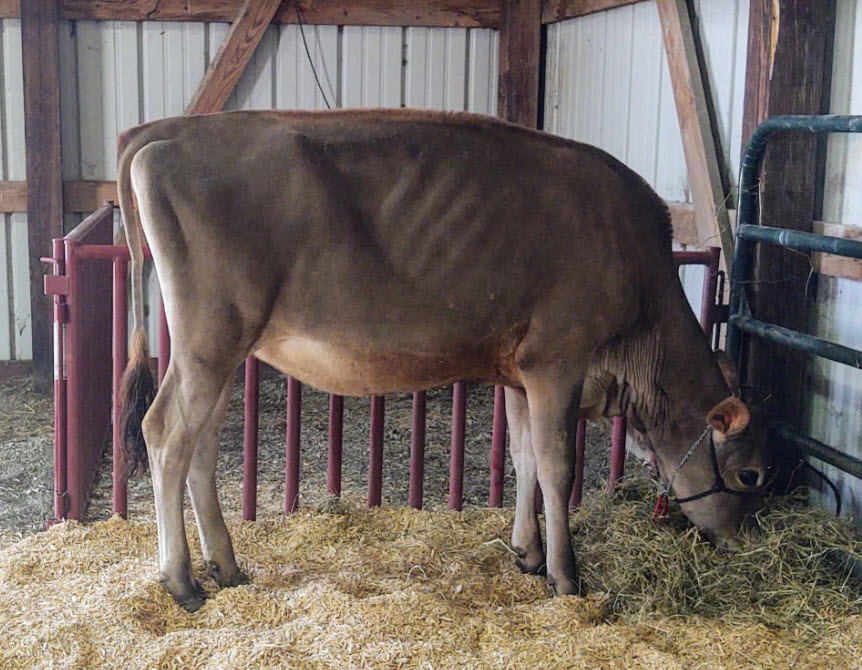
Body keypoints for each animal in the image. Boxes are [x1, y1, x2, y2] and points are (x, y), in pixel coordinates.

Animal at [117, 109, 772, 611]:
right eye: (751, 475)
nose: (746, 543)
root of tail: (170, 129)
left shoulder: (520, 371)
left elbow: (523, 457)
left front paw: (526, 552)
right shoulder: (558, 360)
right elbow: (558, 468)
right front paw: (566, 576)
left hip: (223, 349)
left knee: (200, 444)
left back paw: (225, 567)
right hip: (210, 340)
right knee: (165, 432)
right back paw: (181, 582)